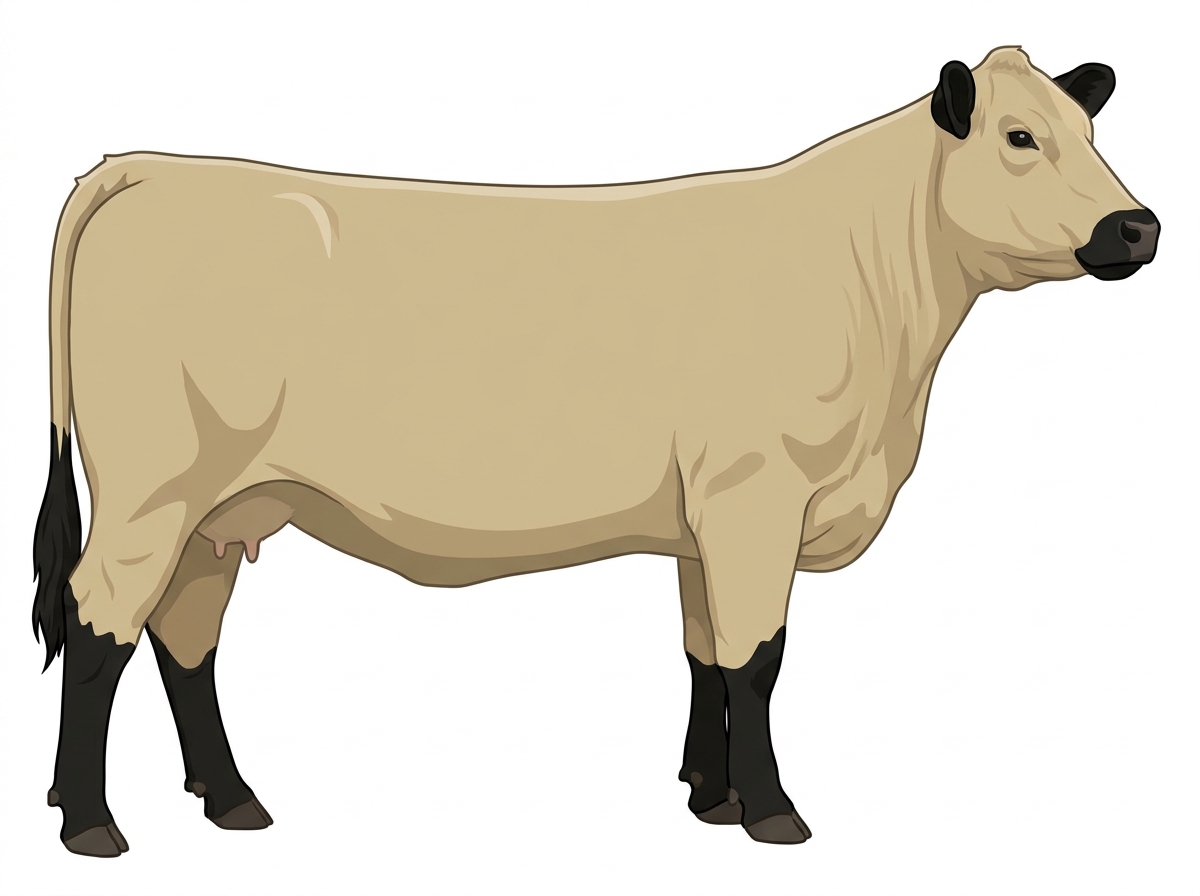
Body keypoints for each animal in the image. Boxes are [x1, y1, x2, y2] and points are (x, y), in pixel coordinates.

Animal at [31, 46, 1158, 857]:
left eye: (1089, 127)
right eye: (1020, 136)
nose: (1137, 227)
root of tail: (149, 165)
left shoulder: (710, 520)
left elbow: (707, 652)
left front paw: (710, 797)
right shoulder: (756, 497)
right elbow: (759, 659)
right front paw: (773, 813)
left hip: (221, 508)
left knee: (185, 636)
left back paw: (230, 799)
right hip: (150, 491)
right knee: (98, 624)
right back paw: (91, 823)